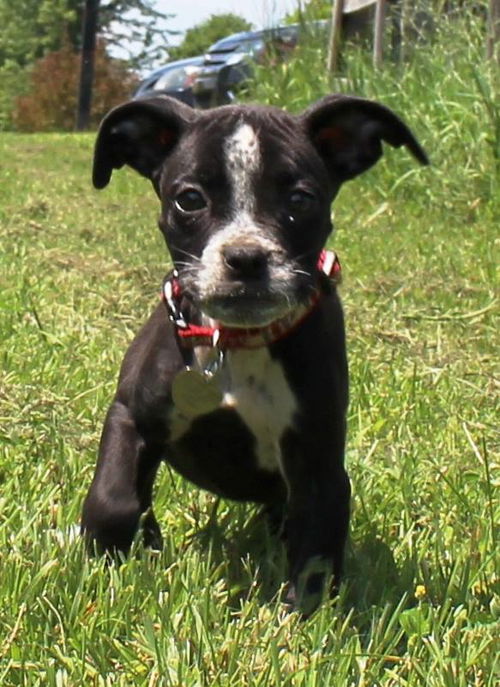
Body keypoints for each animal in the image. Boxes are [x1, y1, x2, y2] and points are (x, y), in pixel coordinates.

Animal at [81, 94, 426, 616]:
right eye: (189, 199)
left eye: (300, 200)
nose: (245, 258)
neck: (236, 343)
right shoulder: (131, 416)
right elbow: (112, 497)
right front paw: (116, 554)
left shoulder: (317, 462)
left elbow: (316, 547)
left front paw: (300, 620)